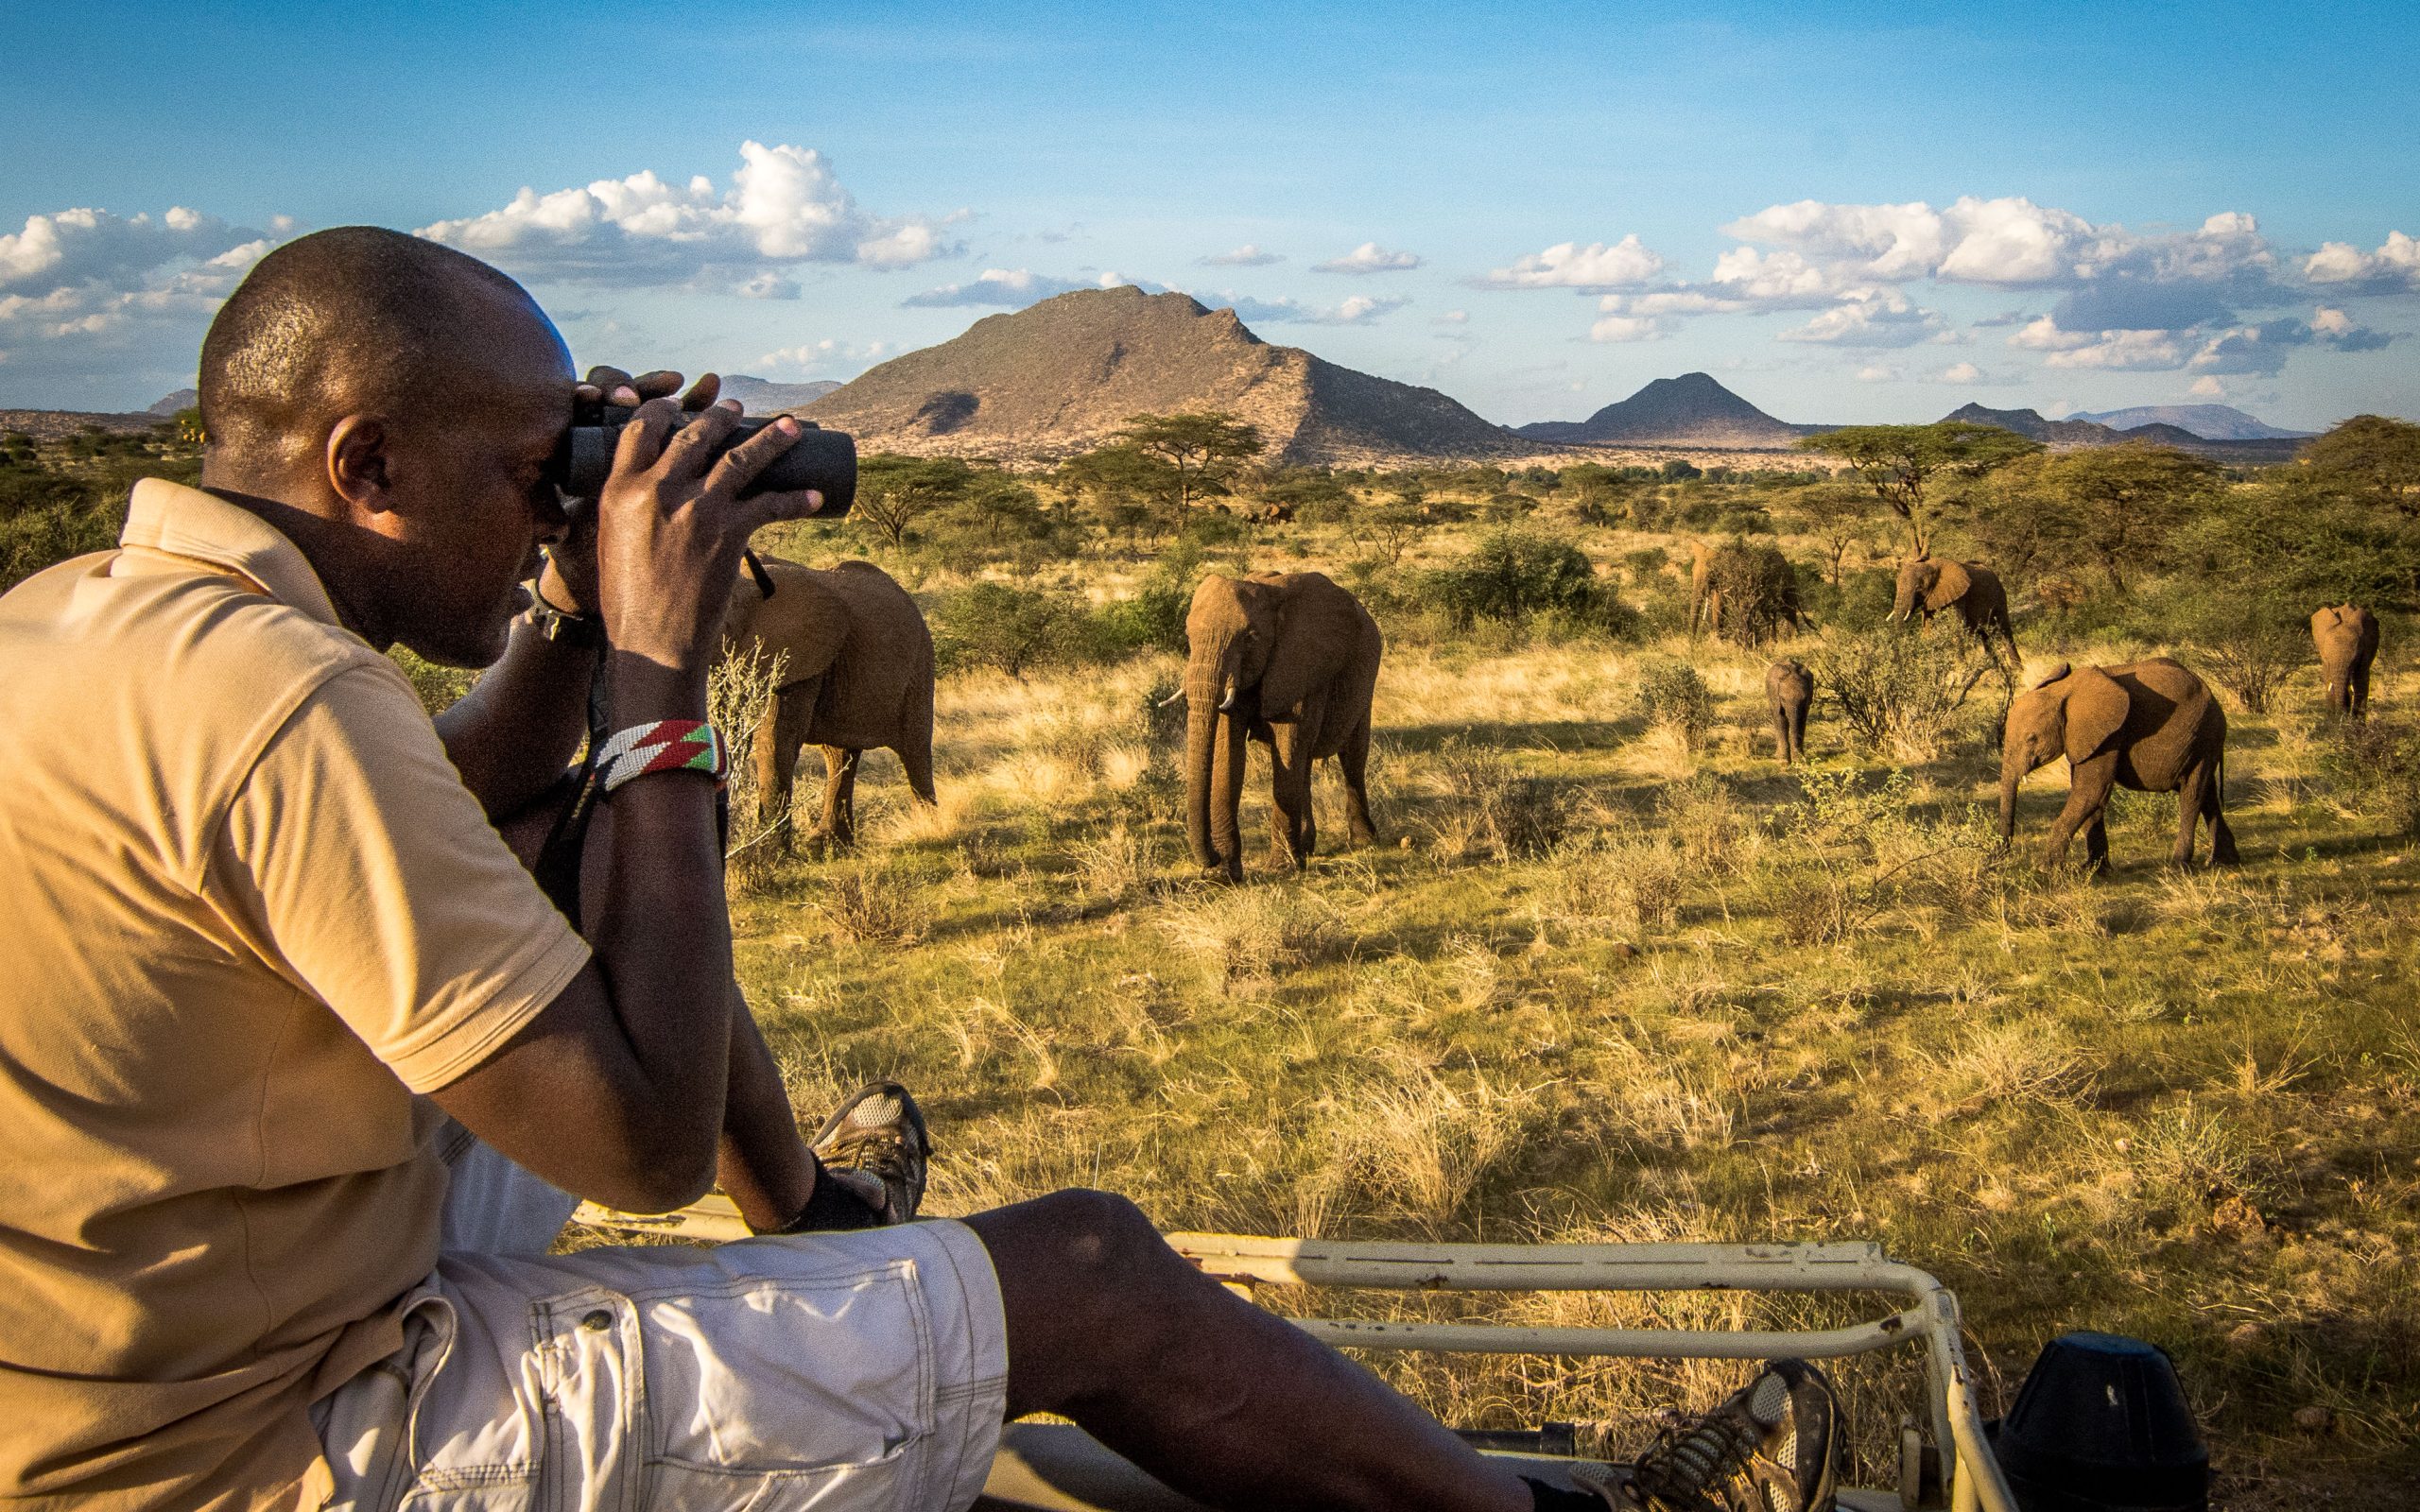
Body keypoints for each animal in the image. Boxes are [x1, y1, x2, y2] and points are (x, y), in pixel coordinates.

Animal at [719, 555, 937, 847]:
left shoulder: (800, 658)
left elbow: (774, 740)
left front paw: (766, 852)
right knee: (839, 754)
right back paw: (828, 844)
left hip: (920, 665)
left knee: (915, 750)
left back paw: (931, 826)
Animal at [1181, 571, 1381, 882]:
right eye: (1188, 636)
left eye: (1250, 638)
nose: (1211, 860)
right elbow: (1229, 755)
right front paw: (1226, 874)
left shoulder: (1300, 665)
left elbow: (1287, 746)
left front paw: (1281, 869)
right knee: (1305, 762)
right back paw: (1306, 848)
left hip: (1365, 678)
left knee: (1353, 756)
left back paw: (1363, 842)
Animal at [1892, 555, 2019, 664]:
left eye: (1919, 588)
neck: (1932, 565)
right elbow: (1928, 631)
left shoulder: (1958, 597)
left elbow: (1956, 629)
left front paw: (1961, 668)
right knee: (1985, 637)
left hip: (2000, 598)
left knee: (2005, 632)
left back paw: (2017, 670)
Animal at [1999, 657, 2237, 873]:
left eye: (2031, 738)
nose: (2003, 857)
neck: (2065, 690)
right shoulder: (2088, 740)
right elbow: (2091, 795)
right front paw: (2093, 869)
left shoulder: (2110, 734)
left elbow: (2090, 791)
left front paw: (2044, 869)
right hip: (2203, 741)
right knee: (2207, 794)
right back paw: (2222, 862)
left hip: (2204, 735)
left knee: (2191, 794)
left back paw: (2177, 867)